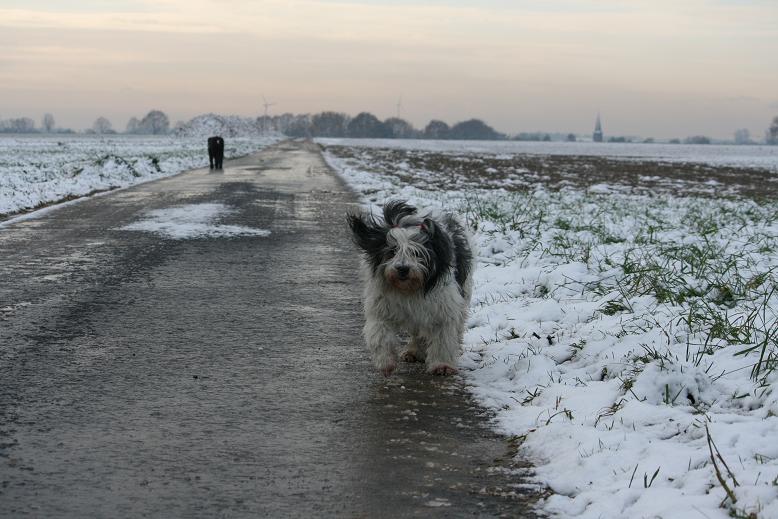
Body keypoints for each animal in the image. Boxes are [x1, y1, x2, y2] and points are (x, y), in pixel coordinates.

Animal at [348, 200, 472, 378]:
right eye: (392, 251)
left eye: (417, 252)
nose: (402, 269)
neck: (409, 289)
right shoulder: (381, 309)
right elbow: (380, 334)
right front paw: (386, 362)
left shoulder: (442, 311)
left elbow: (443, 339)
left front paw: (442, 365)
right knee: (416, 332)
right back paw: (414, 351)